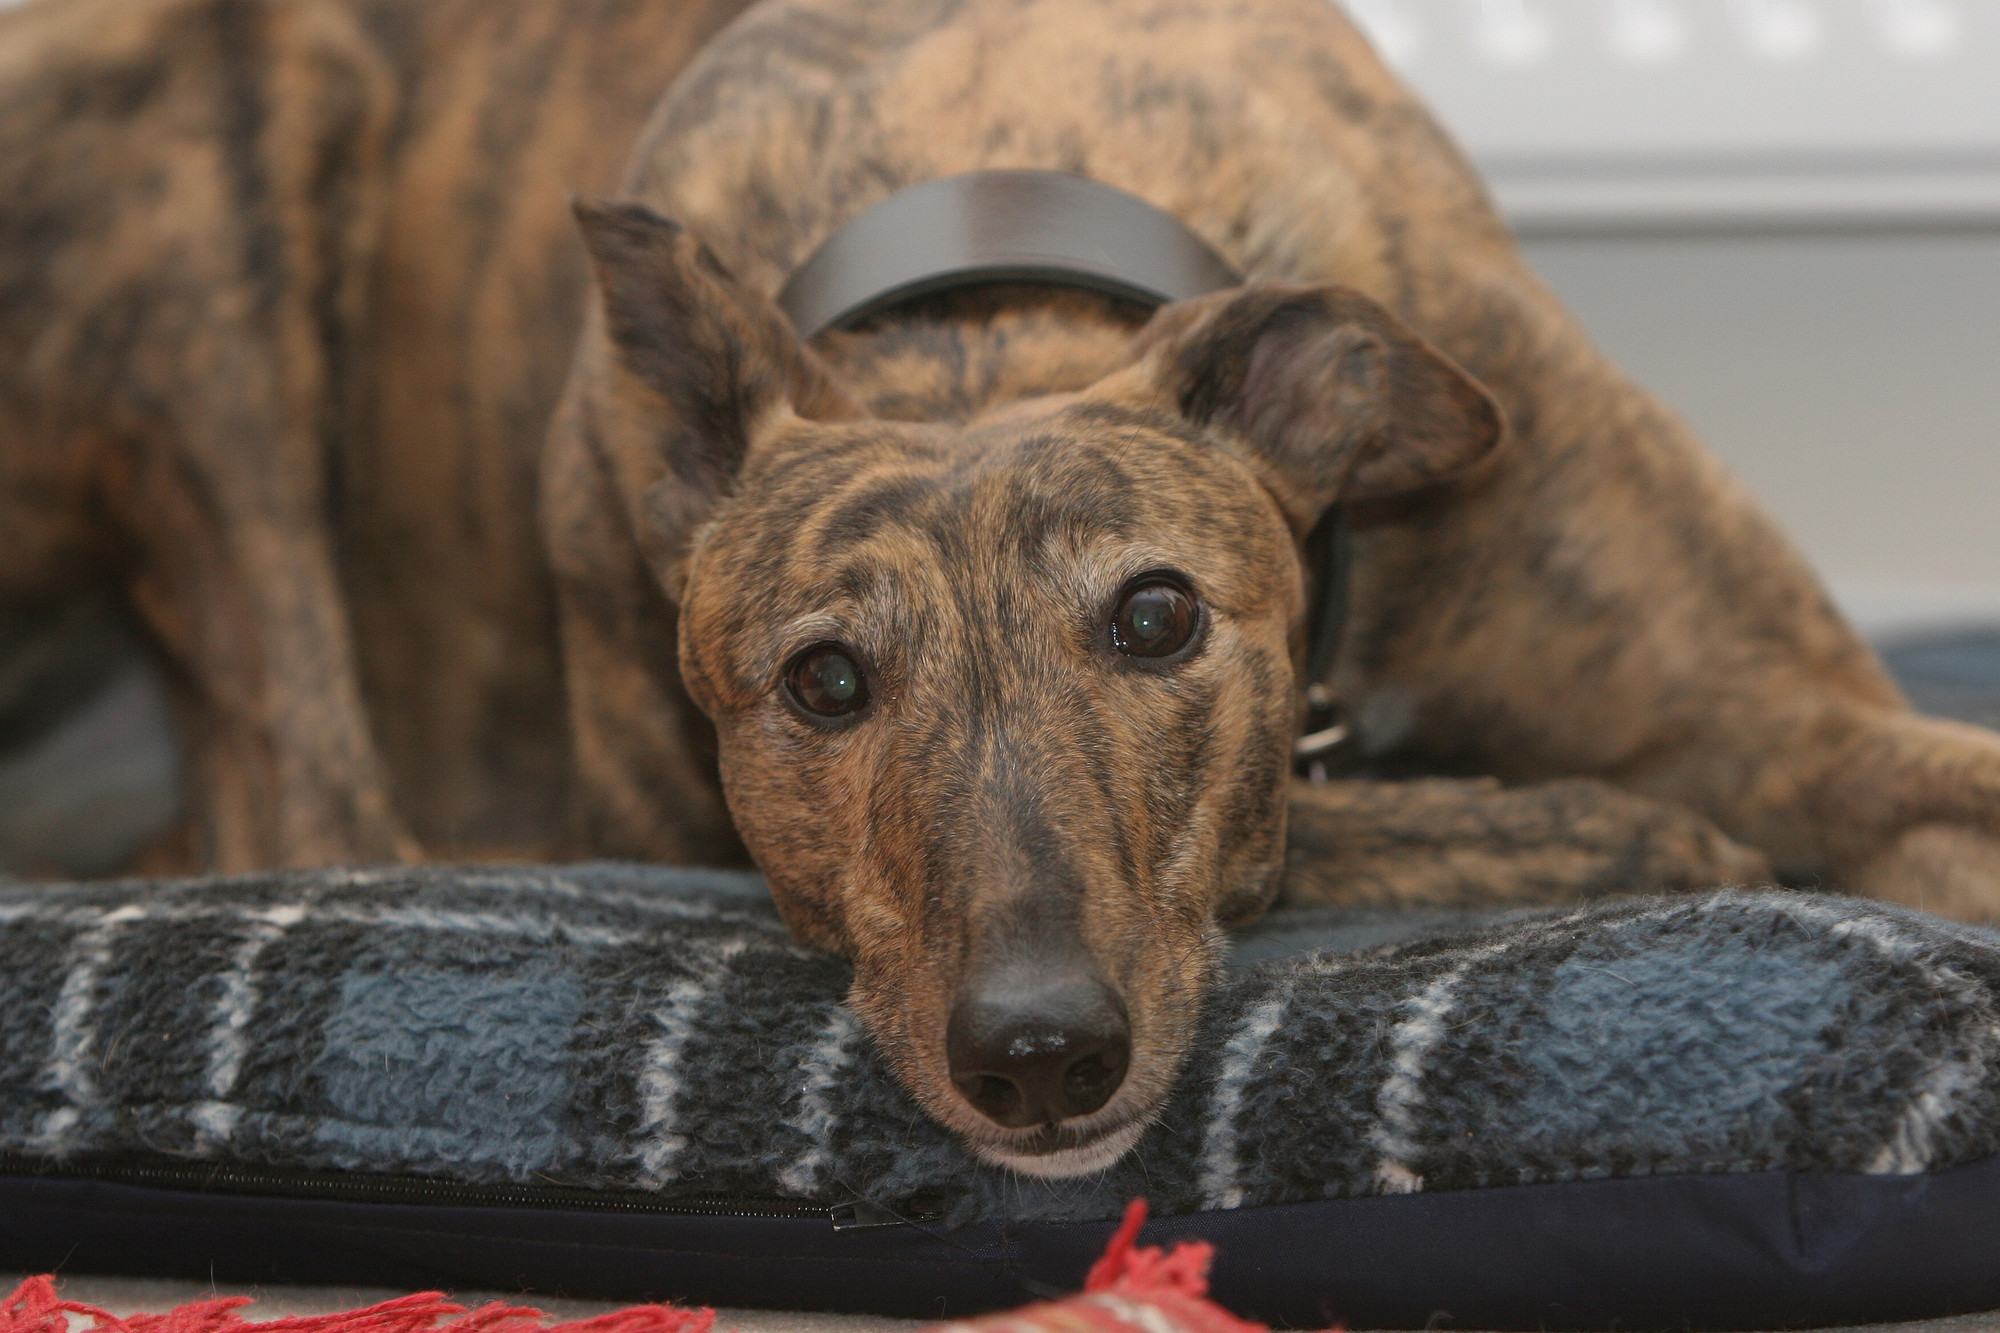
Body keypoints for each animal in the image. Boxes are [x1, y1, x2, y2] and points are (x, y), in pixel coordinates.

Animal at [11, 0, 2000, 1168]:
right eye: (821, 680)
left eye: (1158, 614)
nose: (1039, 1056)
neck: (981, 265)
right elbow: (1414, 820)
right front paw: (1632, 835)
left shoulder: (1799, 712)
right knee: (311, 802)